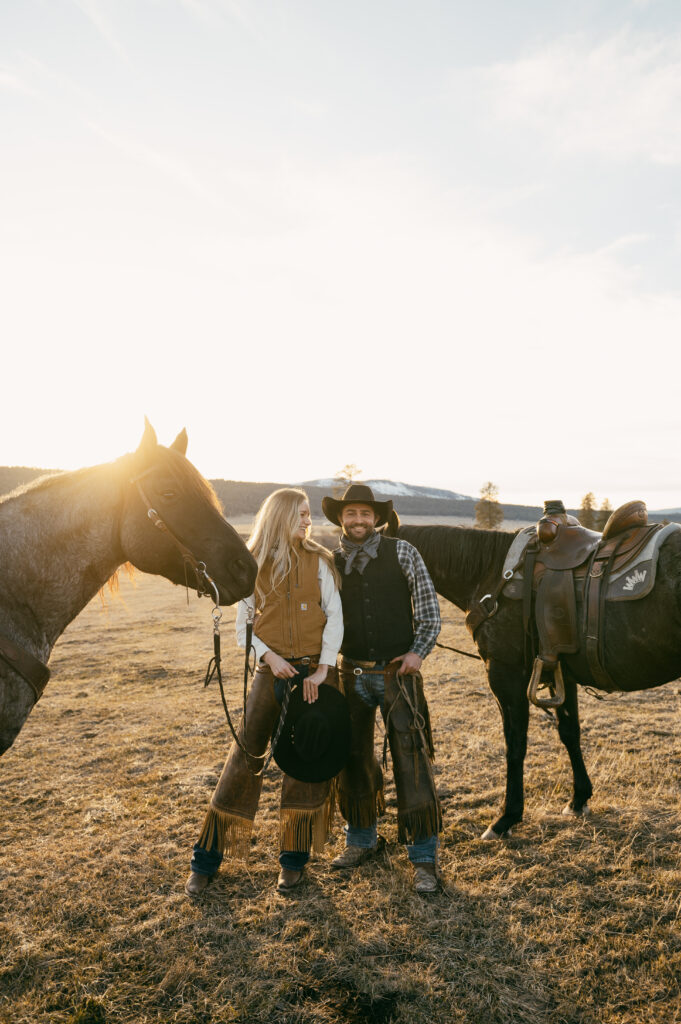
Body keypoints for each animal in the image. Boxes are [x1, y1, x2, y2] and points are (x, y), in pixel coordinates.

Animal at [385, 520, 679, 839]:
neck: (489, 574)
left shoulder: (505, 675)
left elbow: (515, 744)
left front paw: (506, 817)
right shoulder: (562, 675)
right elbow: (569, 733)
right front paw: (579, 799)